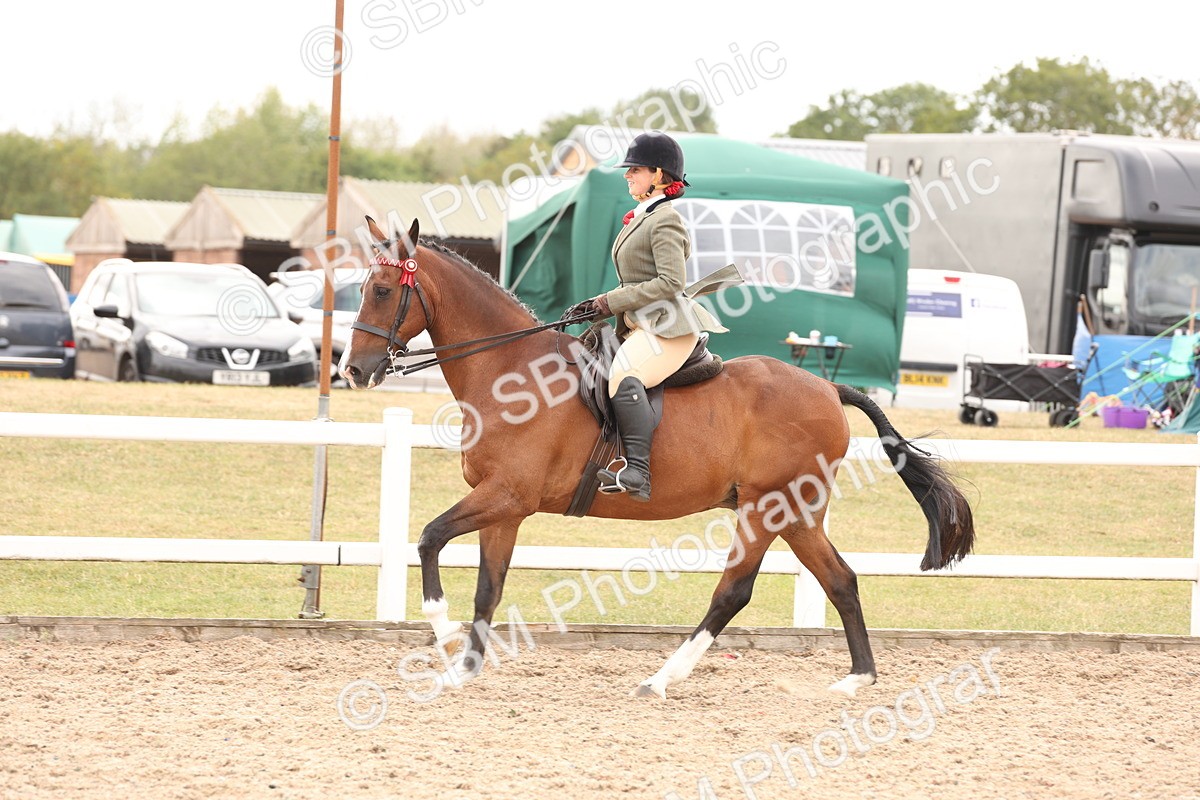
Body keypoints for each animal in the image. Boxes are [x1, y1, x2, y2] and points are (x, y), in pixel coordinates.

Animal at [340, 216, 975, 699]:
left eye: (382, 290)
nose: (352, 370)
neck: (511, 374)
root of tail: (827, 387)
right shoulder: (507, 508)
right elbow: (486, 589)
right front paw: (463, 668)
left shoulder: (506, 495)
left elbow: (428, 537)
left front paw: (444, 637)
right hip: (797, 513)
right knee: (840, 580)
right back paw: (857, 678)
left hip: (766, 508)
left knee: (734, 591)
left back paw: (661, 678)